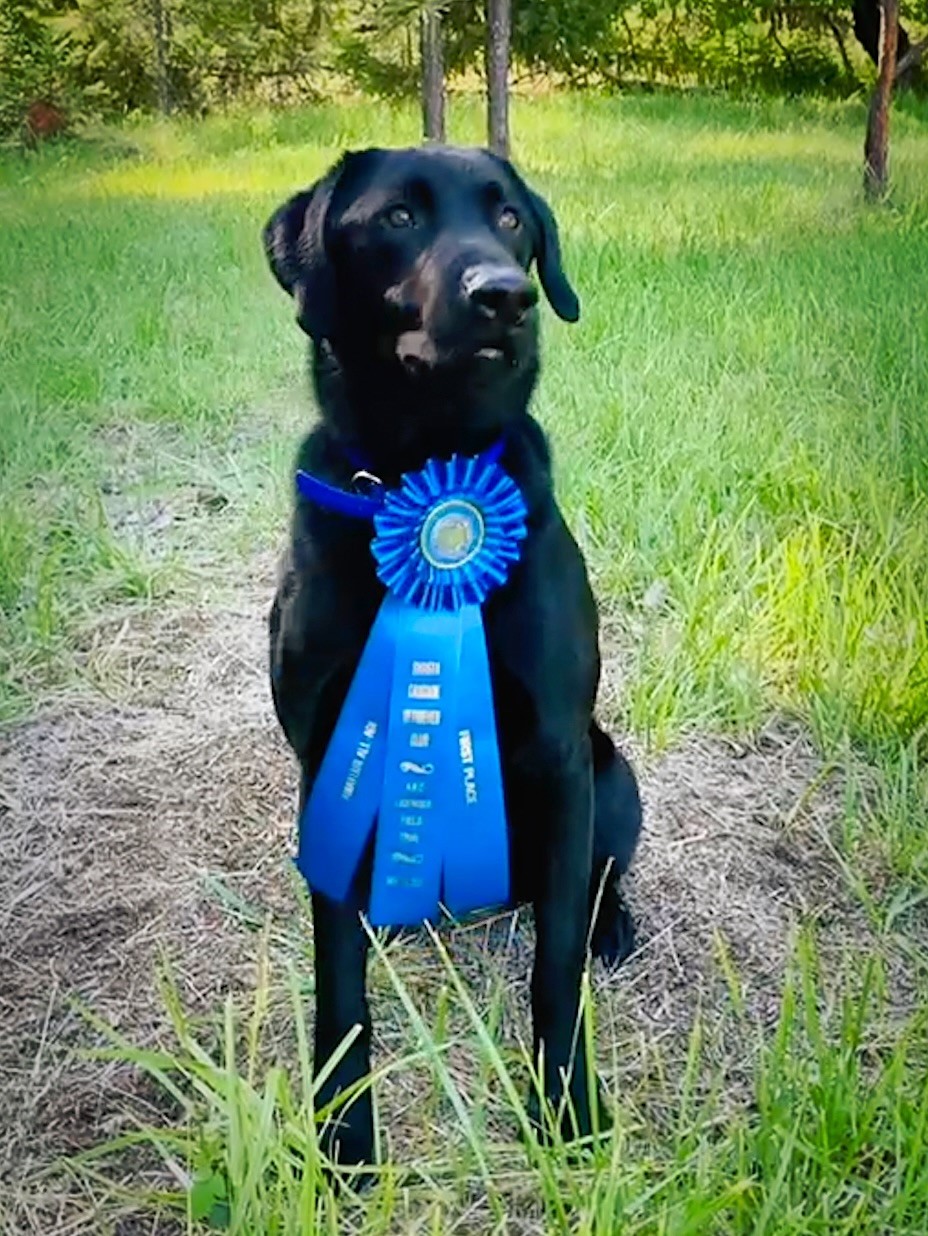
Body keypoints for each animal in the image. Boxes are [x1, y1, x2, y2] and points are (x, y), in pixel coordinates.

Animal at [261, 147, 637, 1166]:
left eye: (511, 221)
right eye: (397, 217)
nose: (506, 295)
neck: (422, 475)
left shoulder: (559, 749)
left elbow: (554, 967)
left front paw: (568, 1104)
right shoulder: (325, 757)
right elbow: (339, 982)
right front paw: (344, 1131)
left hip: (613, 777)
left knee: (593, 882)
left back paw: (612, 928)